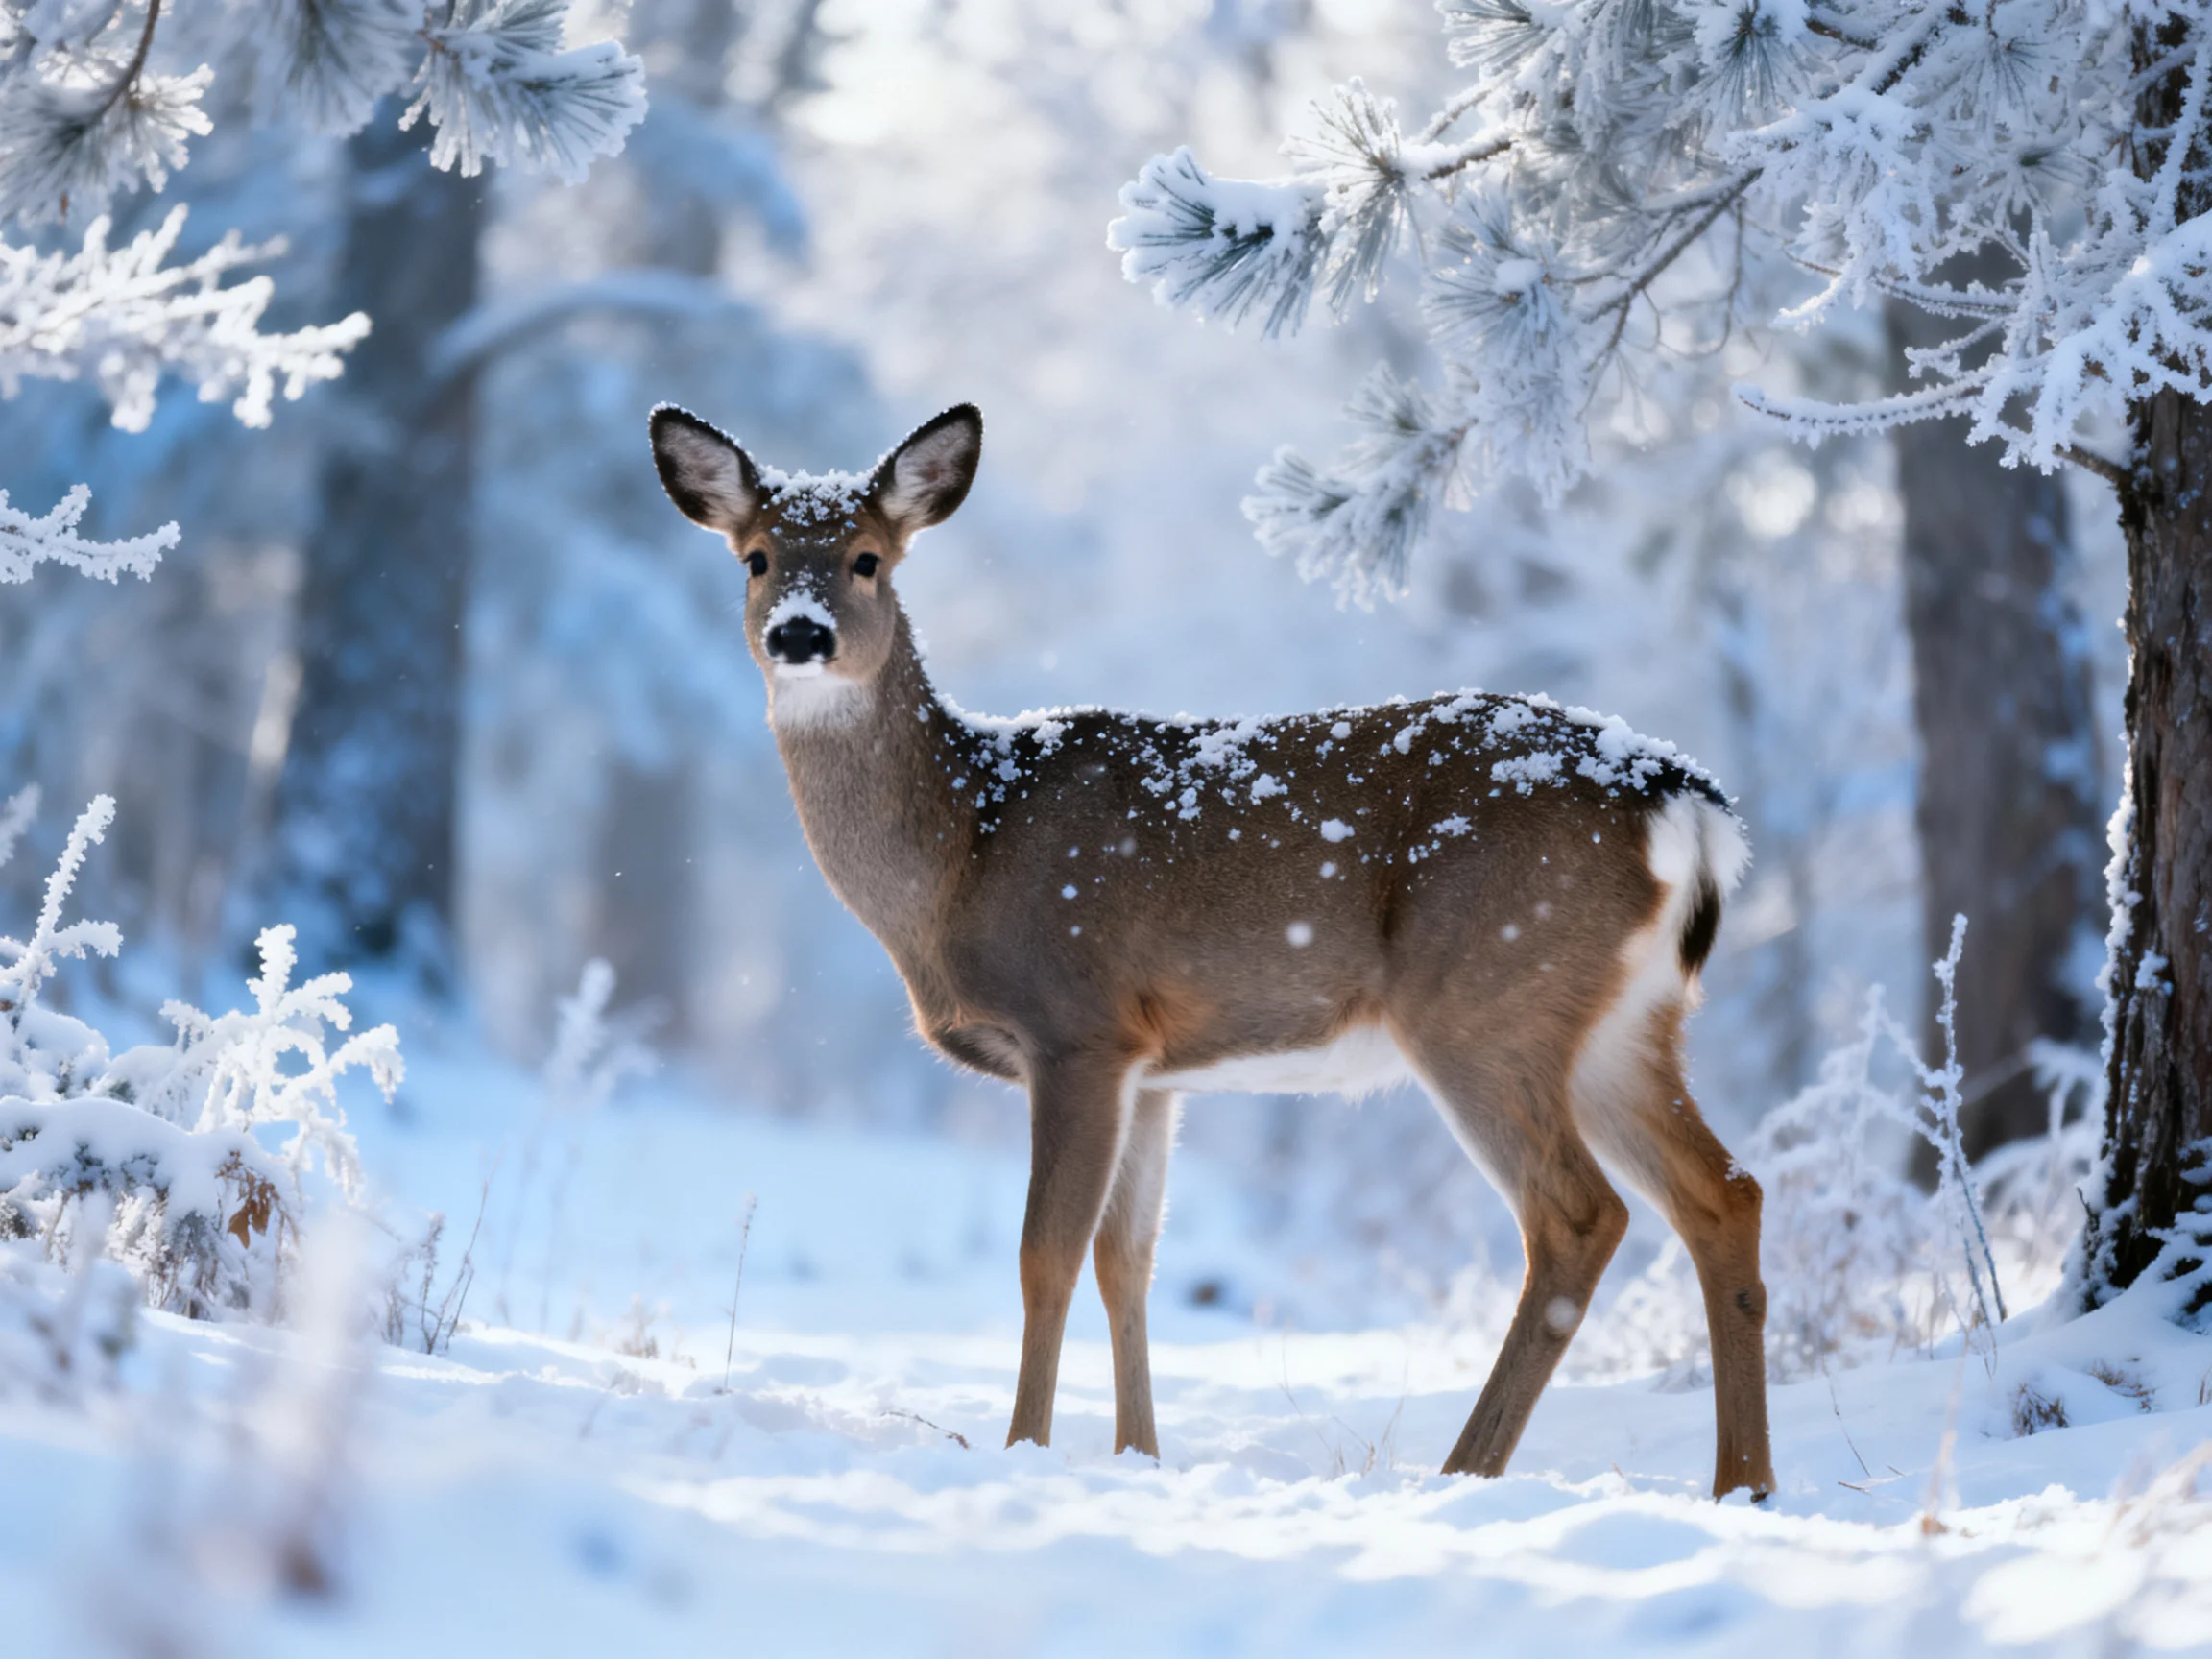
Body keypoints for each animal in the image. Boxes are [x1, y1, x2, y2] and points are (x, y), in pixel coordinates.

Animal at [648, 401, 1776, 1499]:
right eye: (755, 556)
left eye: (869, 558)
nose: (800, 632)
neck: (965, 845)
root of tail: (1680, 798)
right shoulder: (1154, 1071)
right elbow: (1128, 1261)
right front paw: (1138, 1457)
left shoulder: (1077, 1027)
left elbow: (1045, 1257)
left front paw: (1025, 1450)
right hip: (1624, 1019)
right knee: (1725, 1194)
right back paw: (1743, 1486)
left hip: (1486, 1000)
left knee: (1578, 1217)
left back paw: (1464, 1475)